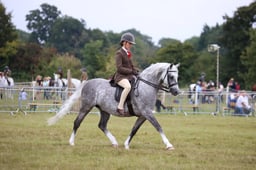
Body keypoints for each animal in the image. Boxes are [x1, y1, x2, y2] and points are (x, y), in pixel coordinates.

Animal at [48, 62, 180, 150]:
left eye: (177, 77)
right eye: (171, 76)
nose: (176, 92)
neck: (146, 86)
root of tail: (88, 82)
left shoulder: (143, 115)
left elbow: (134, 129)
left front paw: (126, 144)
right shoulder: (147, 113)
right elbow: (158, 127)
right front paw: (169, 145)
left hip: (105, 110)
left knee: (102, 125)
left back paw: (114, 142)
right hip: (86, 107)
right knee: (77, 122)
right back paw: (71, 142)